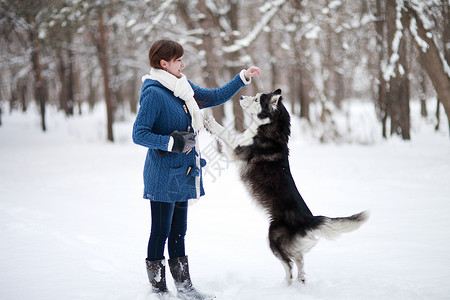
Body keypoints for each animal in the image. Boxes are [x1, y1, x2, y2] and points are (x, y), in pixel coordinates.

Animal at [204, 88, 370, 284]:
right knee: (299, 261)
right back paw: (301, 280)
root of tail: (308, 219)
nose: (241, 96)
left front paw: (212, 122)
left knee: (289, 264)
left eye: (257, 99)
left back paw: (285, 284)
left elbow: (226, 133)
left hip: (273, 236)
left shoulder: (237, 150)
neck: (267, 127)